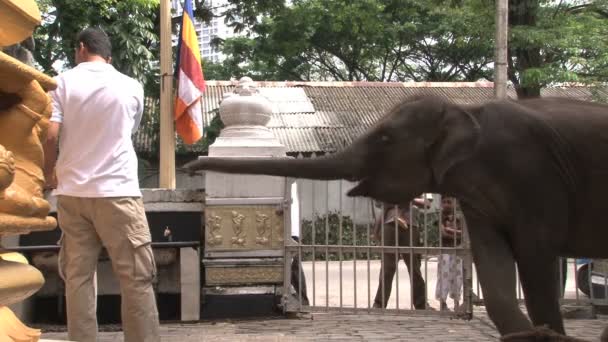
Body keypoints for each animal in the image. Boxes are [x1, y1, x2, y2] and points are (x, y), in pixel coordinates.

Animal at [185, 95, 608, 340]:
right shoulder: (481, 196)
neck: (464, 110)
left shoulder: (534, 178)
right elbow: (493, 264)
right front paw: (536, 336)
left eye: (385, 139)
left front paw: (549, 335)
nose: (191, 164)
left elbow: (536, 257)